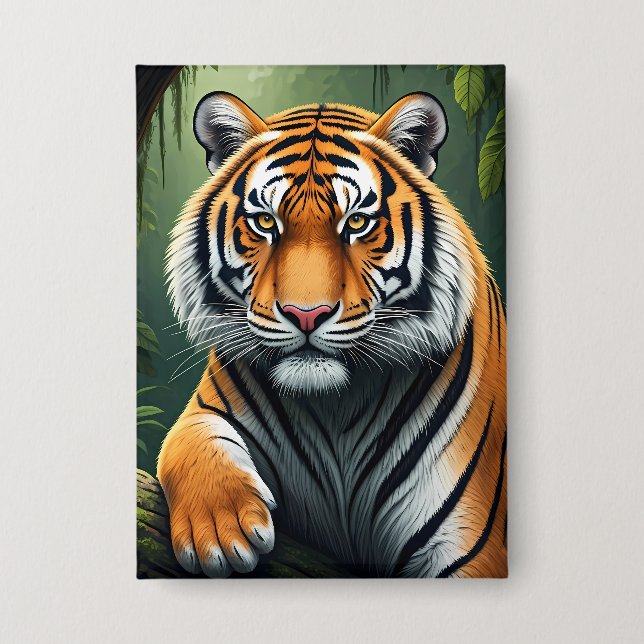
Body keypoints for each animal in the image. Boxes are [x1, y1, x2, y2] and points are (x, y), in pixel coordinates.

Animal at [157, 90, 507, 578]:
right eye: (265, 223)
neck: (334, 408)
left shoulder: (471, 544)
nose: (307, 315)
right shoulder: (205, 409)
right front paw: (220, 532)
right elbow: (184, 442)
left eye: (356, 223)